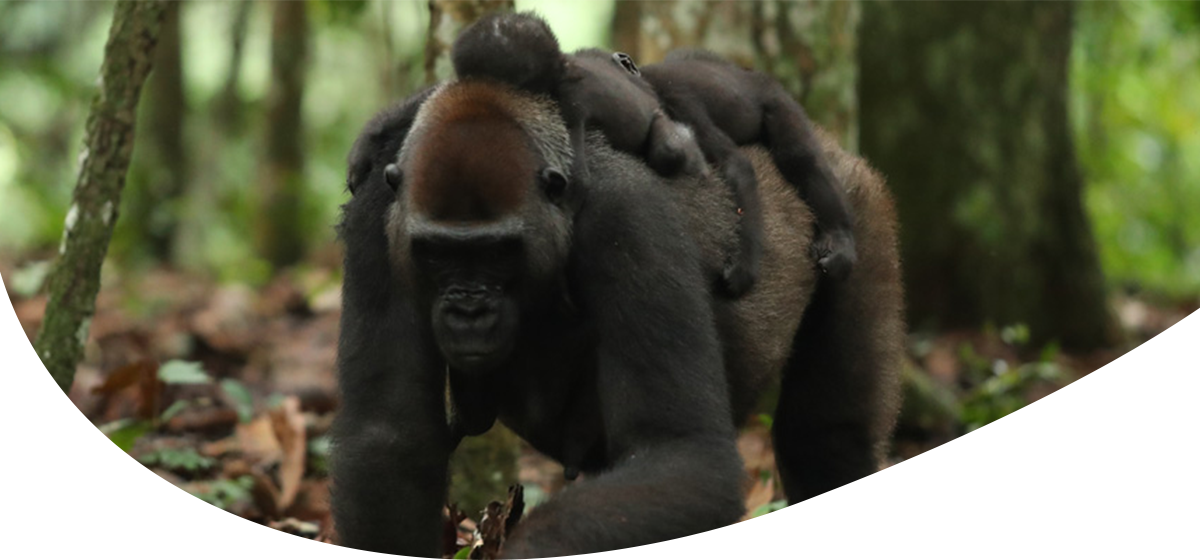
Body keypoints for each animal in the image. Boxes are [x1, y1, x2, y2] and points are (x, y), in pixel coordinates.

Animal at [330, 74, 903, 559]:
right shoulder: (379, 209)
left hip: (858, 207)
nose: (468, 310)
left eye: (497, 253)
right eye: (436, 253)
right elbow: (388, 439)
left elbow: (683, 457)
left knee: (825, 438)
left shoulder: (627, 217)